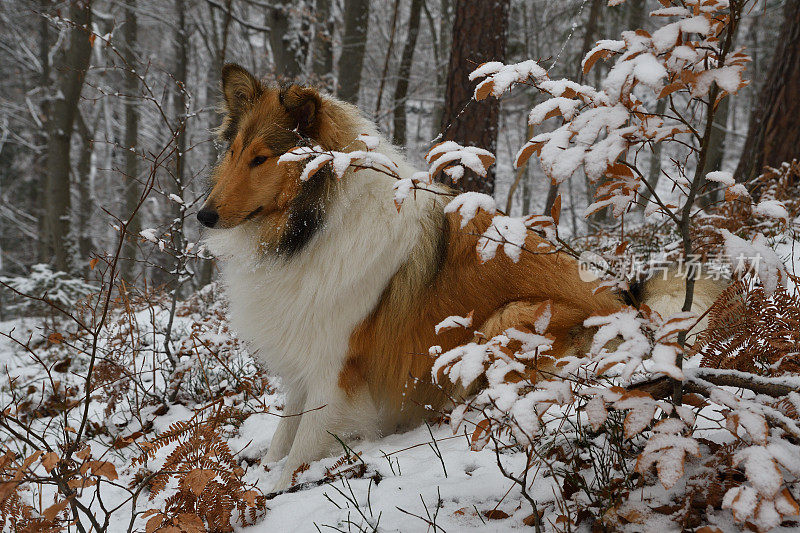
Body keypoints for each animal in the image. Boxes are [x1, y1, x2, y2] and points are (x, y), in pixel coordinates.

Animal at [198, 63, 724, 490]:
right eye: (234, 151)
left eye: (262, 158)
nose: (203, 215)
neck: (315, 223)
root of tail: (633, 312)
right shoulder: (306, 361)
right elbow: (284, 432)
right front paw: (263, 471)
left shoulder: (336, 368)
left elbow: (302, 447)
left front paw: (273, 489)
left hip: (506, 322)